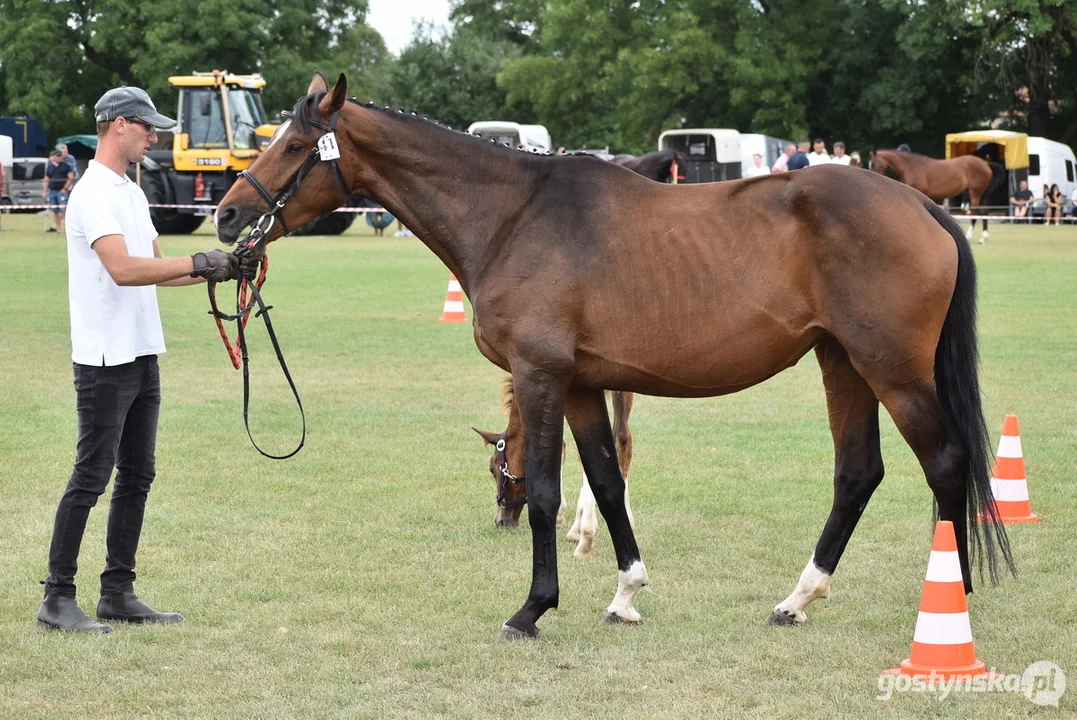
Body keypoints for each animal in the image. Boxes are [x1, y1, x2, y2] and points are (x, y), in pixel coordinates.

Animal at [870, 148, 1003, 244]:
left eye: (874, 164)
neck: (912, 166)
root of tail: (986, 163)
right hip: (981, 194)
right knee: (984, 212)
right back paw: (983, 237)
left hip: (975, 193)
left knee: (974, 213)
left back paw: (970, 236)